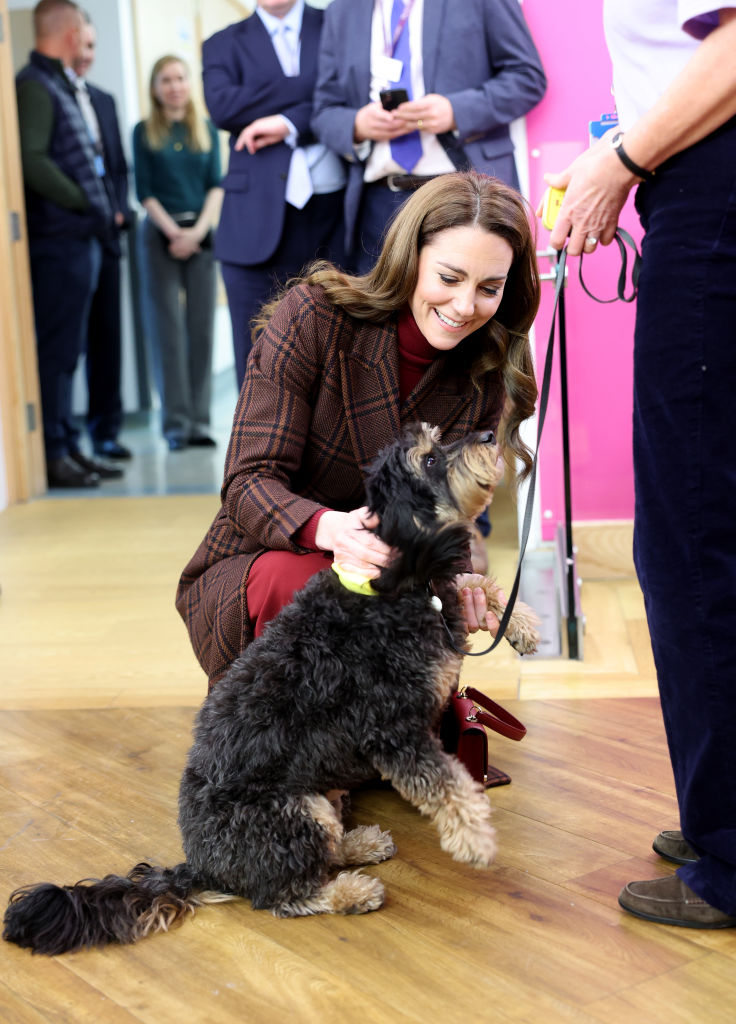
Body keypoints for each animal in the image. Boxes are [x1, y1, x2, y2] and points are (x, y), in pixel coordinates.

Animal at [2, 421, 536, 950]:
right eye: (430, 459)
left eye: (439, 438)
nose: (490, 435)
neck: (394, 583)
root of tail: (202, 866)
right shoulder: (391, 729)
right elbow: (448, 785)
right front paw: (476, 838)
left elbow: (471, 583)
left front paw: (522, 623)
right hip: (294, 811)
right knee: (285, 895)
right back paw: (350, 891)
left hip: (320, 796)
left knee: (321, 855)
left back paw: (359, 843)